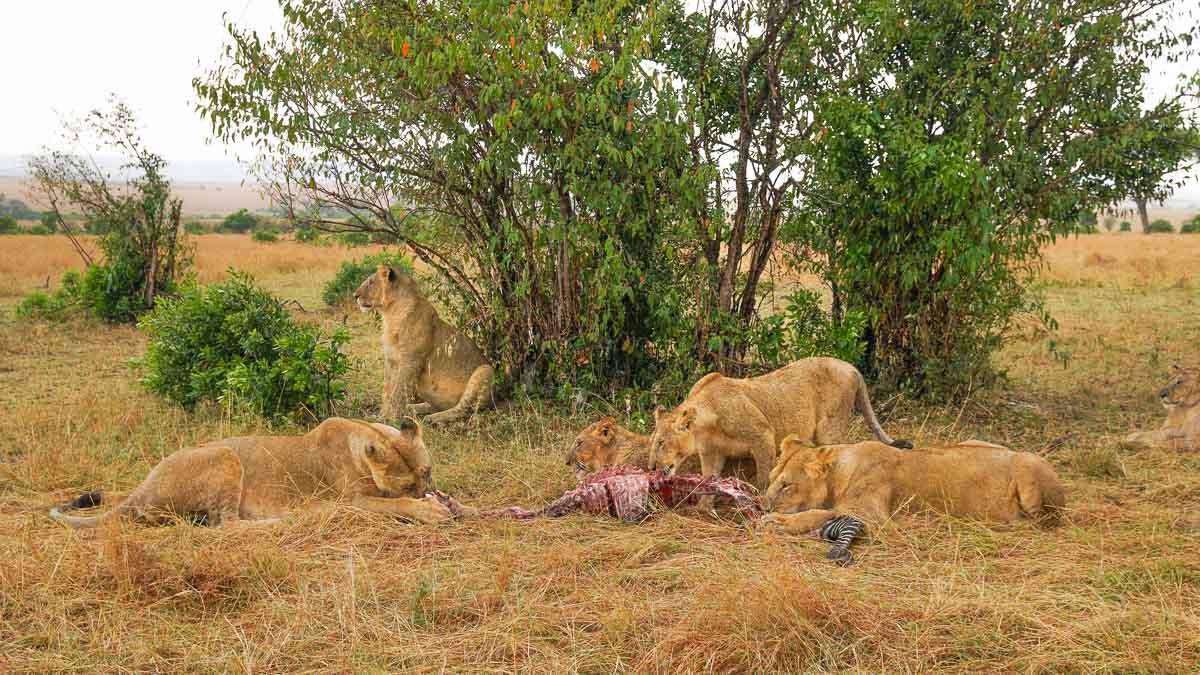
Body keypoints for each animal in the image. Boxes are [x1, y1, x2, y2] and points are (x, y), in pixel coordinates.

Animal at [45, 415, 451, 526]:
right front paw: (430, 510)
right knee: (225, 525)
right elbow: (390, 505)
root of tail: (138, 491)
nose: (428, 492)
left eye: (429, 473)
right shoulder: (352, 499)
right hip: (225, 454)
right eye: (405, 486)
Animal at [352, 265, 494, 422]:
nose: (355, 296)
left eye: (370, 282)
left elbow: (398, 391)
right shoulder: (390, 360)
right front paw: (381, 414)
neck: (390, 314)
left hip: (486, 370)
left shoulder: (411, 360)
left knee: (464, 409)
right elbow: (387, 390)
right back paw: (414, 409)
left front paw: (389, 419)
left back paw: (433, 418)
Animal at [648, 357, 907, 487]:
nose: (650, 468)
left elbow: (764, 476)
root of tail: (852, 367)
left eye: (661, 442)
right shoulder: (712, 453)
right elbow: (708, 479)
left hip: (829, 428)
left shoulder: (763, 436)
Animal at [763, 432, 1065, 533]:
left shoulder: (873, 517)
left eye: (787, 485)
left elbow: (820, 513)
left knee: (1045, 521)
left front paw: (779, 522)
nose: (763, 506)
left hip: (1027, 464)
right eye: (771, 480)